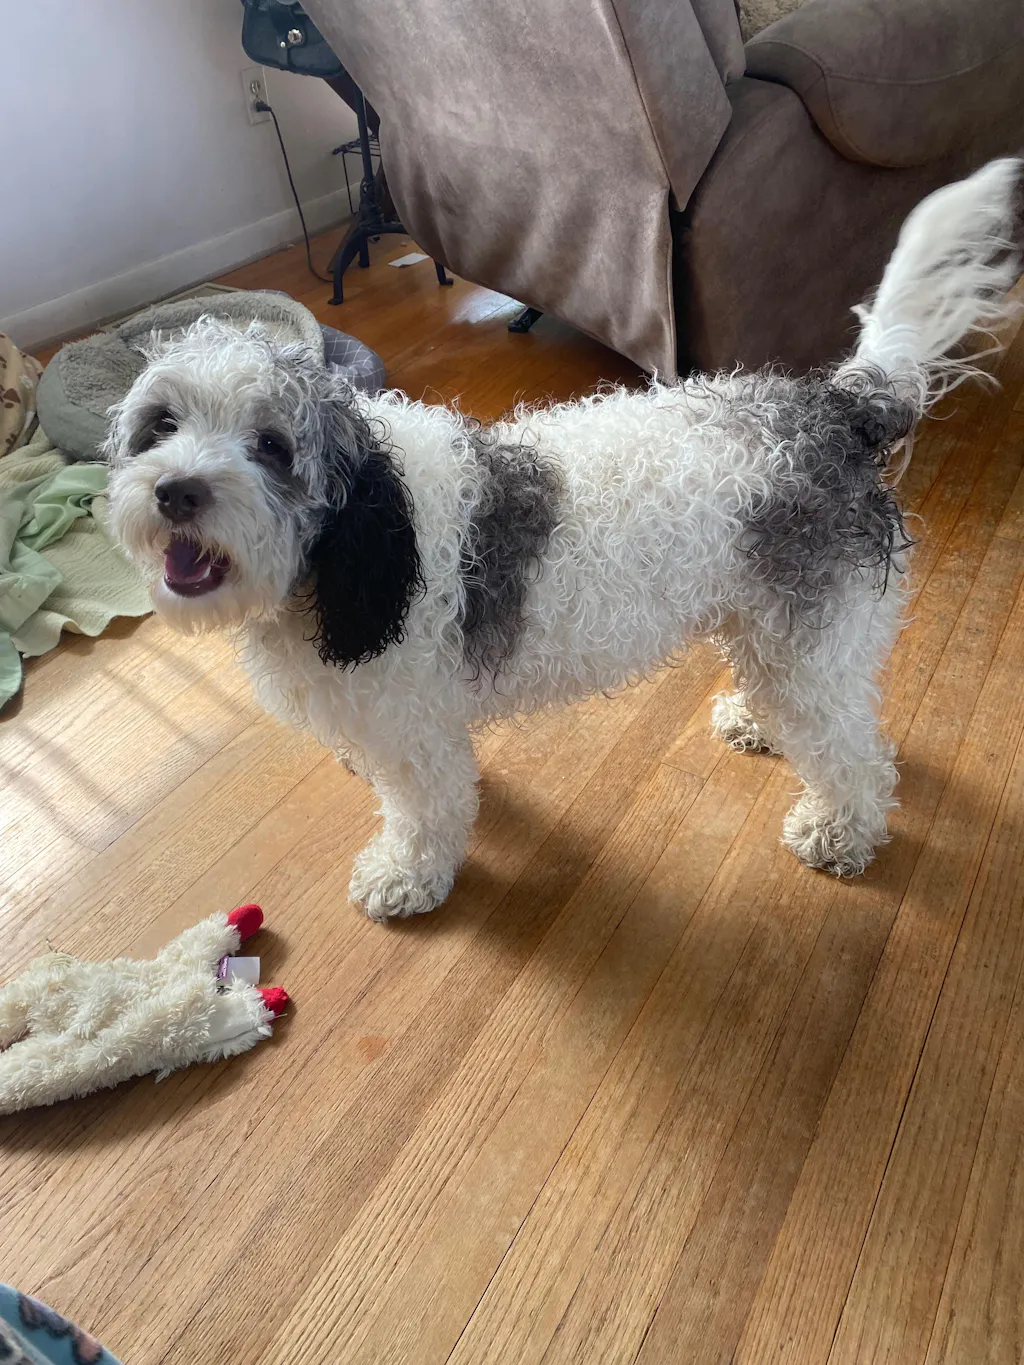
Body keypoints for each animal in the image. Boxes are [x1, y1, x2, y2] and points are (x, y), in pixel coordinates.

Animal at [107, 159, 1021, 921]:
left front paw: (404, 877)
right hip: (770, 627)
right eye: (163, 424)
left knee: (854, 752)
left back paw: (839, 830)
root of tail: (836, 408)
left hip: (811, 638)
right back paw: (755, 719)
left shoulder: (418, 731)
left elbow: (425, 814)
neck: (359, 544)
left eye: (271, 444)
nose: (175, 490)